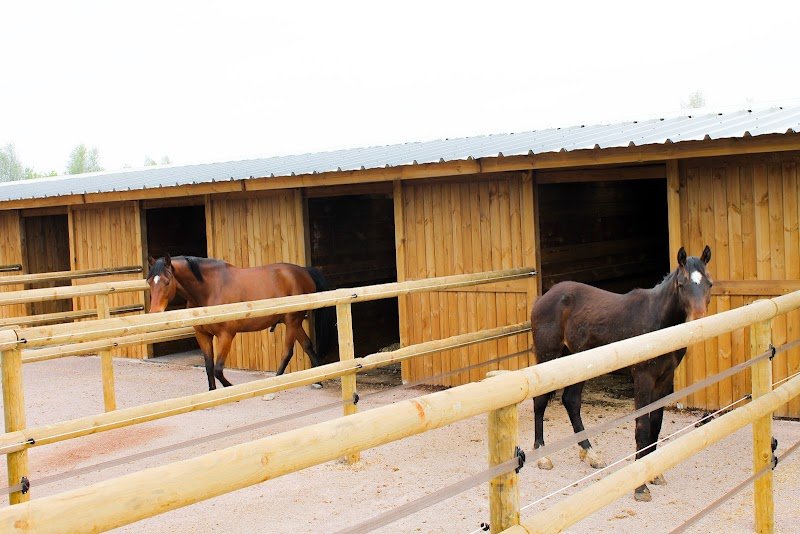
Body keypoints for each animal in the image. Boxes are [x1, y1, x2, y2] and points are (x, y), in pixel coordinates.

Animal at [146, 255, 336, 391]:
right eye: (149, 282)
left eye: (167, 281)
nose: (154, 313)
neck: (210, 290)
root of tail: (304, 271)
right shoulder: (203, 335)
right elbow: (209, 367)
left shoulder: (226, 335)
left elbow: (218, 369)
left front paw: (229, 388)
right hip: (293, 323)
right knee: (307, 345)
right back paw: (319, 380)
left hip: (292, 321)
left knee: (287, 352)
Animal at [530, 245, 712, 502]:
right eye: (681, 284)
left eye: (709, 284)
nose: (698, 322)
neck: (657, 320)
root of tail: (544, 297)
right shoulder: (643, 379)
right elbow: (642, 427)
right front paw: (640, 487)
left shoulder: (665, 380)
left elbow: (656, 424)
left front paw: (654, 474)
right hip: (548, 357)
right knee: (540, 401)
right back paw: (543, 456)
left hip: (577, 361)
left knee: (571, 401)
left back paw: (590, 453)